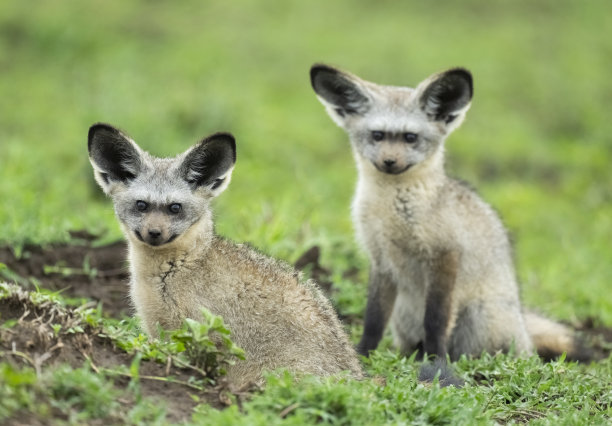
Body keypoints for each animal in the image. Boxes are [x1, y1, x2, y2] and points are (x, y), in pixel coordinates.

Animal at [87, 123, 364, 386]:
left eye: (175, 208)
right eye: (141, 205)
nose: (154, 233)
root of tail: (357, 378)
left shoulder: (201, 335)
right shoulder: (160, 330)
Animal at [310, 65, 592, 364]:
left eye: (410, 137)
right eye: (377, 135)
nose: (389, 162)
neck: (394, 210)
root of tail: (524, 330)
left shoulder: (445, 255)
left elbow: (436, 319)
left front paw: (436, 361)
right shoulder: (381, 259)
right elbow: (373, 318)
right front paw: (363, 354)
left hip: (477, 317)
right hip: (404, 314)